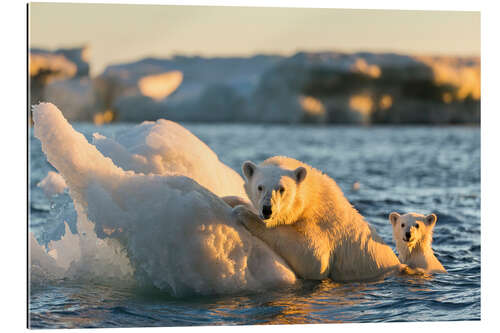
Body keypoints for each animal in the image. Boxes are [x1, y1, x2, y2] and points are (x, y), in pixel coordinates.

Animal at [232, 156, 404, 280]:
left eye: (281, 189)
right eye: (260, 187)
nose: (267, 210)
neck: (313, 197)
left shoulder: (324, 225)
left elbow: (314, 258)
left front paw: (244, 213)